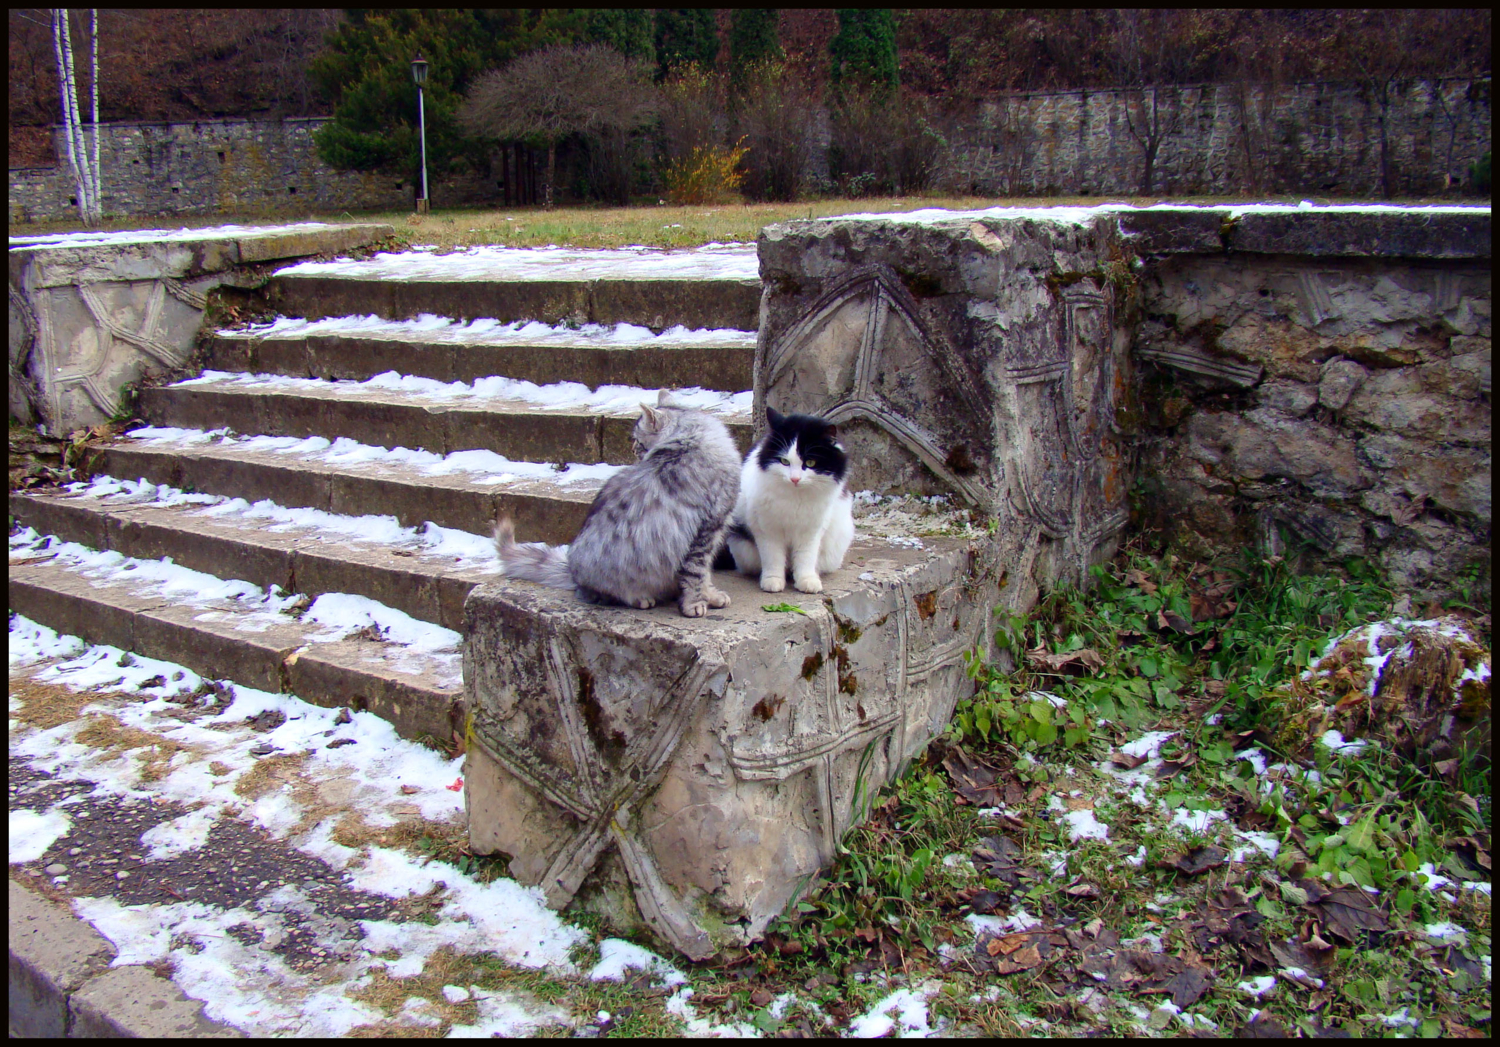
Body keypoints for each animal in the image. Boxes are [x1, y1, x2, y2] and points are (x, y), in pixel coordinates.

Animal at [495, 390, 741, 615]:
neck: (689, 441)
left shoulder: (711, 534)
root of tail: (572, 573)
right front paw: (695, 604)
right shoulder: (703, 534)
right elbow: (696, 575)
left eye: (637, 441)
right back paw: (641, 599)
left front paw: (711, 596)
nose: (632, 449)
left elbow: (704, 574)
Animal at [726, 405, 858, 591]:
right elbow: (773, 558)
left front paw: (807, 581)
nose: (795, 479)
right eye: (784, 461)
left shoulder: (811, 531)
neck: (796, 498)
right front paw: (773, 581)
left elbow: (805, 558)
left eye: (810, 463)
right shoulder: (768, 530)